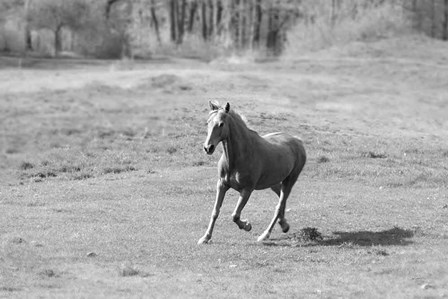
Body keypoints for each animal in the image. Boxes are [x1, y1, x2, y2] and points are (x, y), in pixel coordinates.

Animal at [198, 102, 306, 245]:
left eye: (221, 124)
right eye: (208, 122)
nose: (208, 148)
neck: (238, 157)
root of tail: (298, 140)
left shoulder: (247, 190)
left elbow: (235, 215)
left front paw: (247, 225)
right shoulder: (221, 185)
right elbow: (215, 211)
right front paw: (205, 237)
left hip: (290, 180)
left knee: (279, 205)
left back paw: (265, 235)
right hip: (274, 183)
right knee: (281, 200)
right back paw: (284, 225)